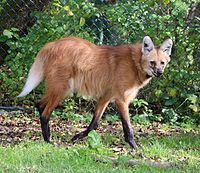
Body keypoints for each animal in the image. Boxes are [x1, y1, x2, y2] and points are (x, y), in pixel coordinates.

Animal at [18, 35, 173, 149]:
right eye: (152, 62)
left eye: (162, 63)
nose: (159, 73)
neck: (135, 63)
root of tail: (51, 44)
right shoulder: (121, 100)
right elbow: (128, 127)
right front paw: (135, 147)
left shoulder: (106, 97)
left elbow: (94, 124)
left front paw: (76, 137)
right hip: (62, 89)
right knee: (45, 113)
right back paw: (48, 141)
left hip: (57, 88)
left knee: (40, 105)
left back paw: (48, 136)